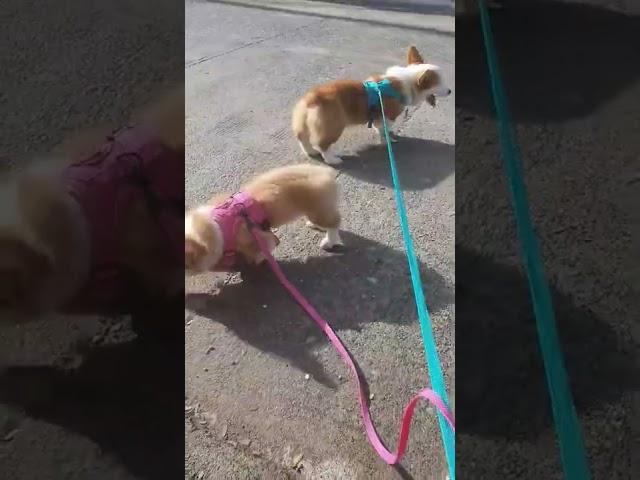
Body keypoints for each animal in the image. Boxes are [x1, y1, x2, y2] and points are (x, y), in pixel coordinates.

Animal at [185, 163, 342, 274]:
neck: (217, 224)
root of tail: (327, 173)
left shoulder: (260, 238)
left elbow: (261, 251)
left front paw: (255, 260)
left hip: (318, 210)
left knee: (334, 223)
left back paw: (329, 242)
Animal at [292, 45, 452, 165]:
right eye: (440, 83)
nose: (450, 91)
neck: (408, 81)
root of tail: (312, 98)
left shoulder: (378, 116)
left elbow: (378, 127)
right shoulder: (389, 116)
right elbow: (385, 131)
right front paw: (389, 141)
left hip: (303, 124)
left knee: (302, 138)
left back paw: (311, 152)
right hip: (334, 126)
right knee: (323, 144)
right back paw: (333, 159)